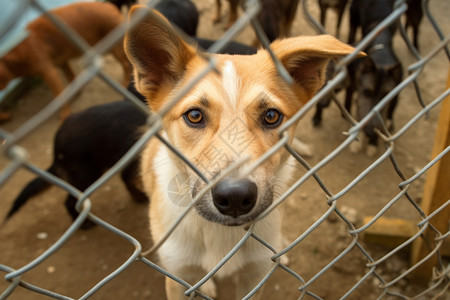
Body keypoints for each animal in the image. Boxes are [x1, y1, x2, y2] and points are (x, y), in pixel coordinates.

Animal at [0, 2, 132, 122]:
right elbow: (71, 78)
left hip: (115, 48)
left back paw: (124, 84)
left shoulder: (50, 72)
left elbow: (59, 95)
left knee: (126, 65)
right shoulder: (62, 62)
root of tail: (111, 7)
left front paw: (65, 114)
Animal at [125, 5, 364, 298]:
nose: (235, 197)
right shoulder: (178, 276)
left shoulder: (254, 276)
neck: (222, 235)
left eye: (271, 116)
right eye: (194, 115)